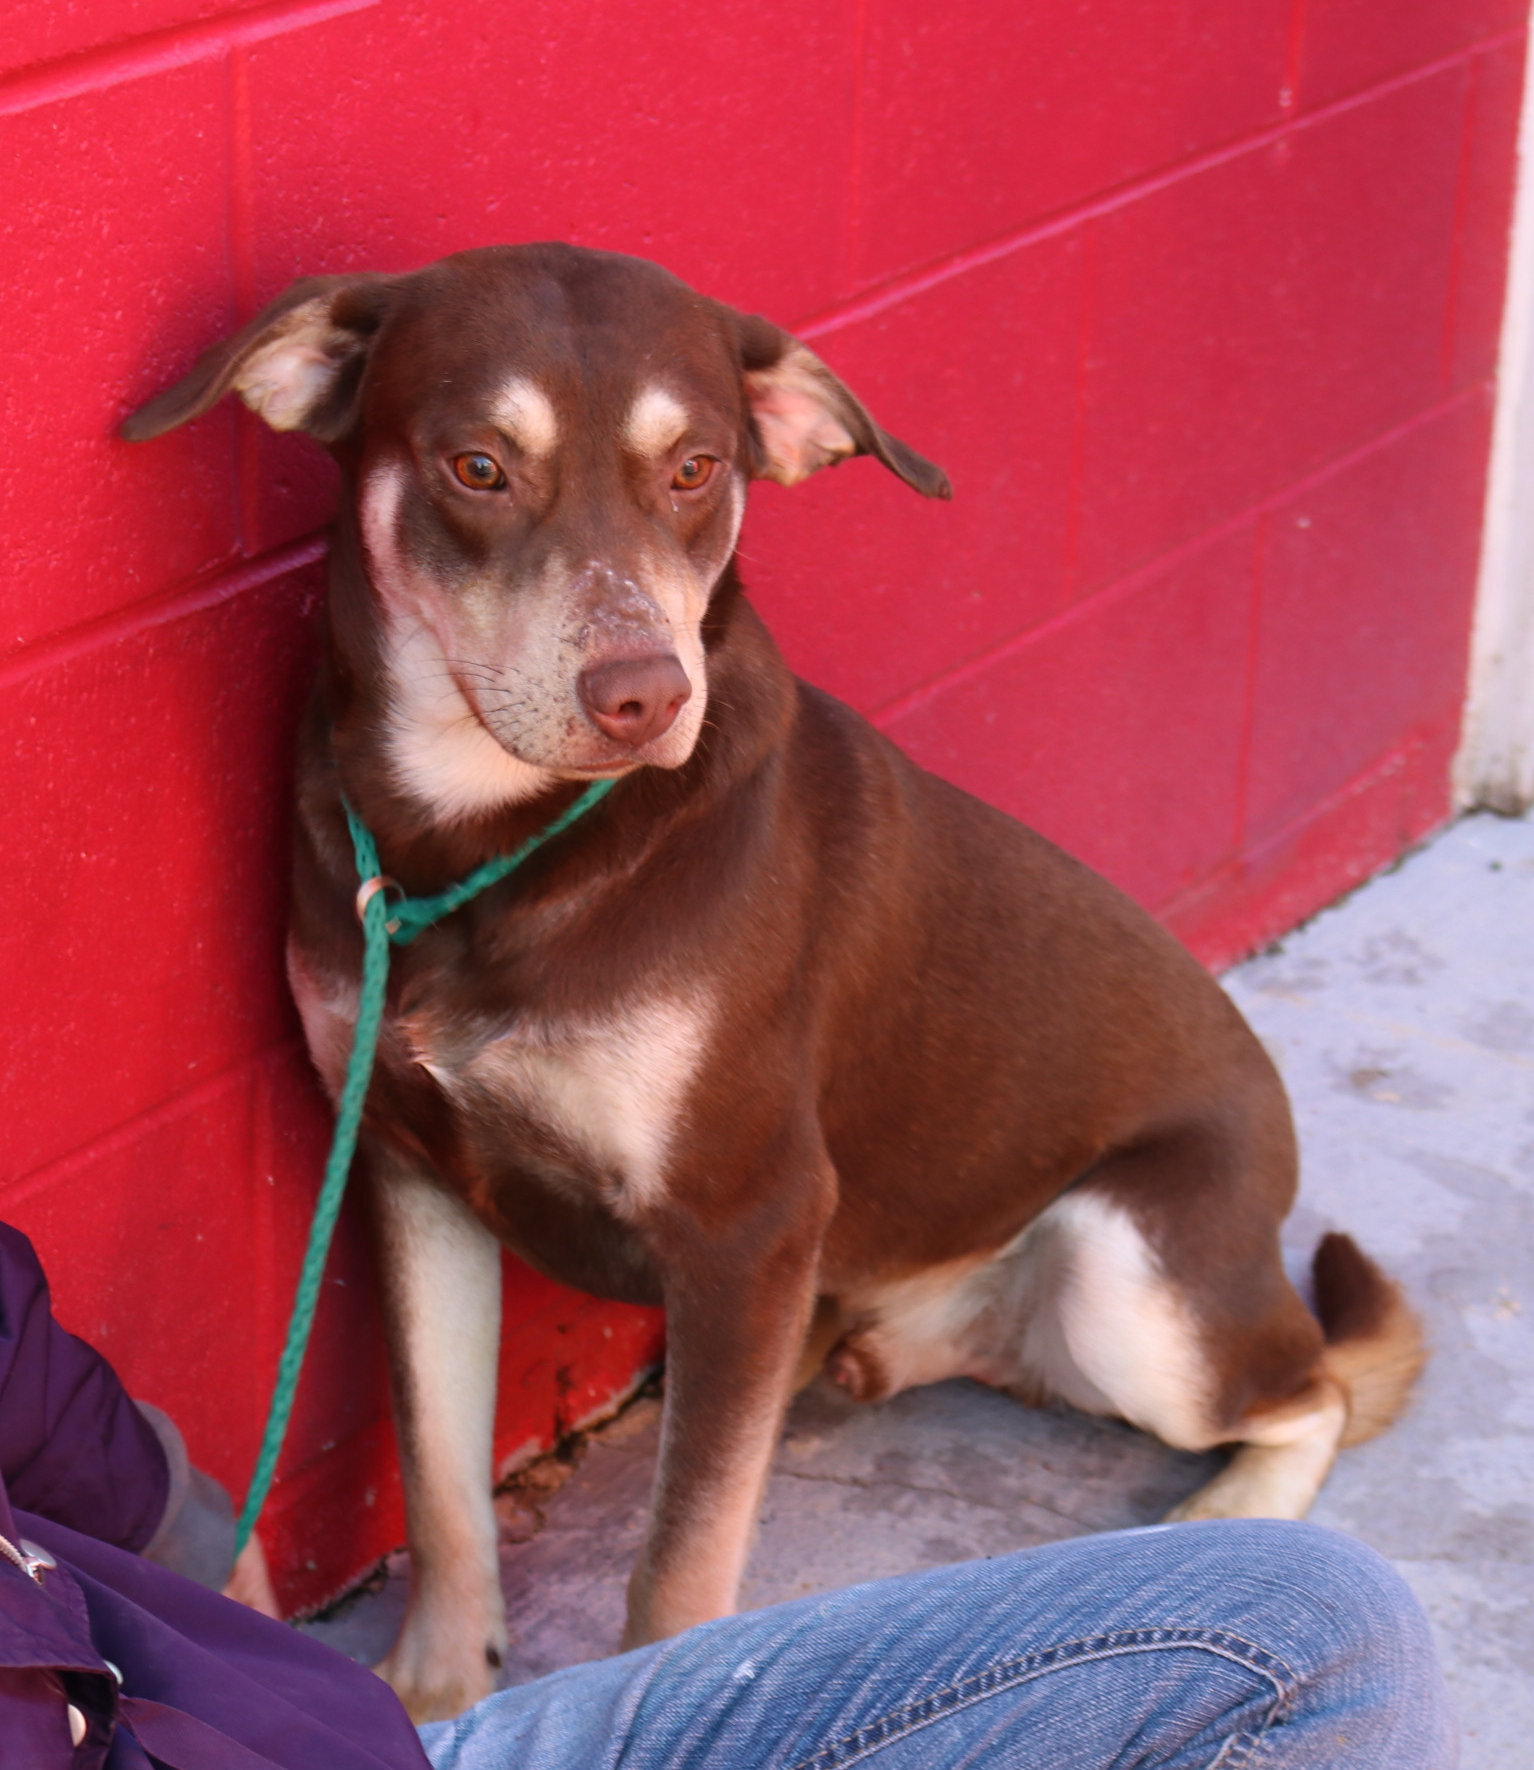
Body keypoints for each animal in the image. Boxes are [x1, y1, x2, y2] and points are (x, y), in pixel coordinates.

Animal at [125, 242, 1422, 1720]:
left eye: (695, 467)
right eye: (476, 466)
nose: (641, 693)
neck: (491, 842)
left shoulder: (746, 1220)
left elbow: (680, 1561)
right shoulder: (403, 1163)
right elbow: (442, 1476)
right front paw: (435, 1688)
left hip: (1135, 1279)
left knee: (1315, 1390)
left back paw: (1228, 1508)